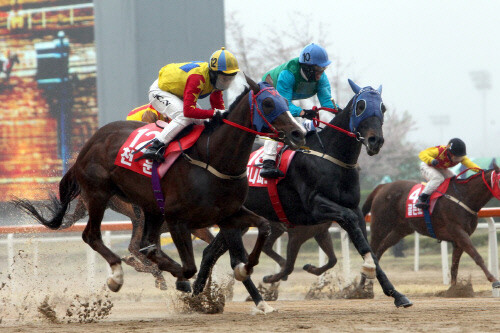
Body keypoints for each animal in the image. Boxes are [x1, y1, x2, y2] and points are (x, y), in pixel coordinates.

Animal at [14, 77, 304, 298]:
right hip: (98, 194)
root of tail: (90, 142)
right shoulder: (177, 220)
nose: (298, 133)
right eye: (268, 103)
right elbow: (188, 266)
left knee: (142, 244)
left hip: (149, 207)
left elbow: (263, 227)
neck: (212, 158)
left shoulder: (228, 212)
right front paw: (184, 281)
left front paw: (245, 269)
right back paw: (117, 276)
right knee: (93, 236)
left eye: (283, 100)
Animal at [364, 165, 500, 288]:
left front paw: (454, 289)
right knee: (372, 249)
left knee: (380, 250)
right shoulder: (458, 232)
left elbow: (454, 265)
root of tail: (383, 186)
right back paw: (362, 287)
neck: (464, 197)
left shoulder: (459, 238)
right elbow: (476, 256)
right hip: (380, 226)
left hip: (400, 230)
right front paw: (494, 279)